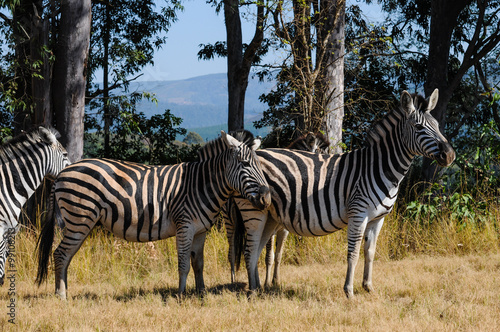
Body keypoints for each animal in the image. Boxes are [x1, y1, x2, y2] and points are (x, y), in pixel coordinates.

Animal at [36, 130, 272, 298]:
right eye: (245, 164)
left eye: (260, 166)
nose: (267, 198)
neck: (200, 184)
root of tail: (62, 173)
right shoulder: (185, 226)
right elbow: (184, 264)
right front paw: (180, 295)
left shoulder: (200, 231)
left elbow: (198, 263)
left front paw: (201, 294)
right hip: (79, 219)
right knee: (60, 254)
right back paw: (61, 296)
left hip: (80, 222)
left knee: (66, 255)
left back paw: (64, 291)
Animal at [229, 89, 456, 296]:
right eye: (419, 127)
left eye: (437, 126)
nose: (449, 155)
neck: (379, 167)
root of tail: (254, 153)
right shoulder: (358, 214)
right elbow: (353, 253)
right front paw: (349, 291)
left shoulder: (378, 219)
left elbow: (370, 252)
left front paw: (369, 287)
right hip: (253, 211)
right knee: (250, 250)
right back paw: (252, 291)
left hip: (271, 216)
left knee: (258, 249)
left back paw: (258, 288)